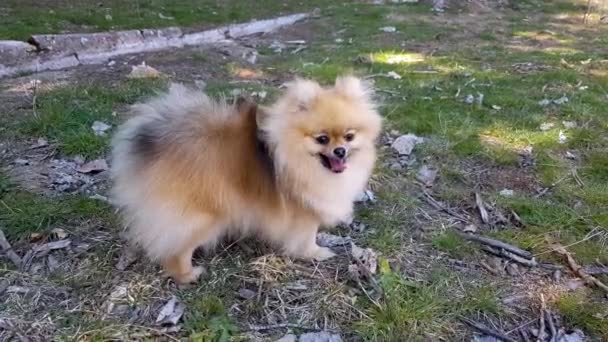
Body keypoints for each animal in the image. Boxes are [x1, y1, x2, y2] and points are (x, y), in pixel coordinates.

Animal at [110, 75, 380, 284]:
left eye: (349, 136)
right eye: (322, 139)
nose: (340, 151)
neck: (299, 158)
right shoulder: (303, 211)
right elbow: (306, 237)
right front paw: (316, 253)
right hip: (202, 218)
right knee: (176, 250)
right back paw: (188, 275)